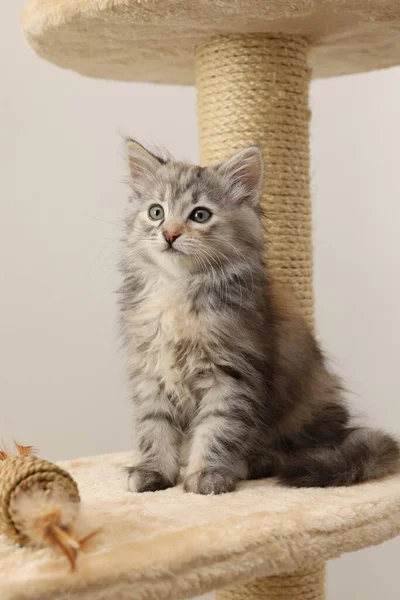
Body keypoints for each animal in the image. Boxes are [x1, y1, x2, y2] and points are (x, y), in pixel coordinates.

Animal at [119, 142, 400, 496]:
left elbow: (217, 428)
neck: (178, 288)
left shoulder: (230, 372)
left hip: (306, 411)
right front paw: (153, 472)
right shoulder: (151, 370)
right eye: (156, 212)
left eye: (200, 215)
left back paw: (245, 463)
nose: (169, 234)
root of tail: (344, 428)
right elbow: (155, 427)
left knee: (289, 453)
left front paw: (208, 474)